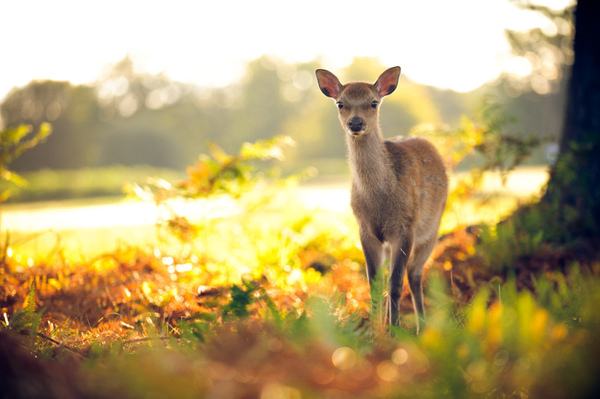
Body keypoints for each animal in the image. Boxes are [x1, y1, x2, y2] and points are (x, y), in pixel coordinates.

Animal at [316, 67, 448, 332]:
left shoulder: (405, 226)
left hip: (432, 228)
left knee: (414, 273)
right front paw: (375, 332)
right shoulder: (365, 229)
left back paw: (420, 327)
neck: (379, 203)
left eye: (373, 102)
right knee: (394, 275)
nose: (356, 123)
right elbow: (374, 283)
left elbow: (396, 284)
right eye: (341, 103)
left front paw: (394, 331)